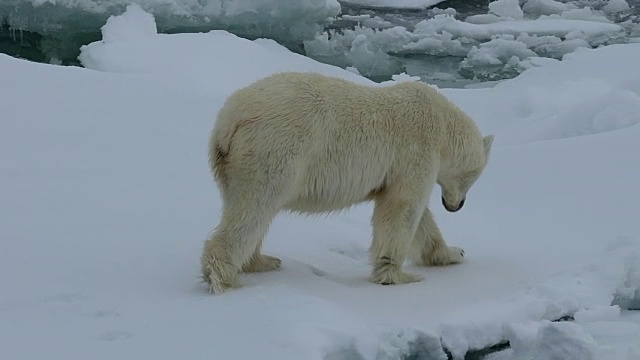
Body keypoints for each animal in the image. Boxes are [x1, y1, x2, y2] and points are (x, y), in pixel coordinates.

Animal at [202, 71, 492, 294]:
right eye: (474, 176)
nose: (456, 205)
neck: (441, 123)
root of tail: (229, 122)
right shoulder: (416, 151)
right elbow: (403, 208)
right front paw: (398, 276)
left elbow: (419, 216)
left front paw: (452, 253)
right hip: (274, 149)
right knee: (254, 208)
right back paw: (226, 277)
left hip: (229, 164)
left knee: (249, 210)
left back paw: (261, 261)